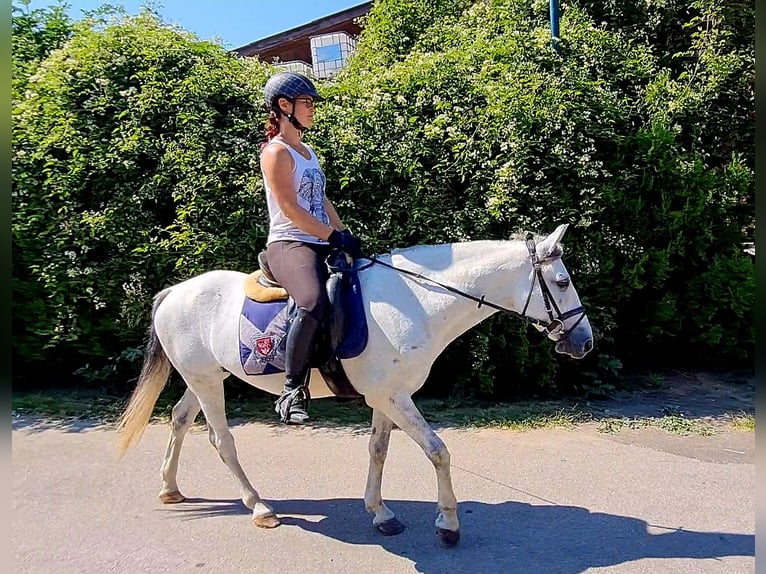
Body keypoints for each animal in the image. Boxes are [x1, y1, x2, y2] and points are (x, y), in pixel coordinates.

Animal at [117, 223, 592, 548]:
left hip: (204, 378)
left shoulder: (388, 396)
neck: (417, 302)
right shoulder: (394, 397)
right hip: (204, 381)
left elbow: (378, 450)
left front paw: (381, 513)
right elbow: (438, 451)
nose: (584, 341)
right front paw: (448, 524)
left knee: (180, 419)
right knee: (221, 440)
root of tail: (174, 292)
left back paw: (170, 487)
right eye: (562, 282)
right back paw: (259, 506)